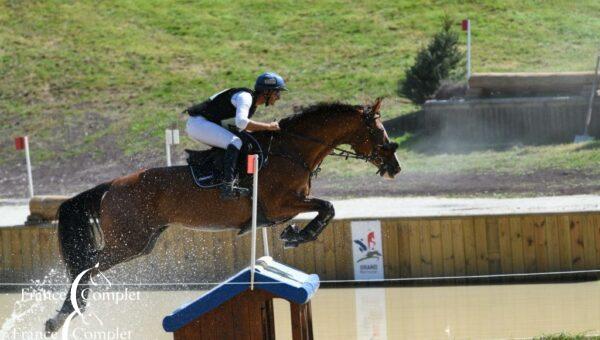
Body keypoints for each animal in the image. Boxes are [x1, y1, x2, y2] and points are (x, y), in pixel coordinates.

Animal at [44, 97, 400, 334]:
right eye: (377, 131)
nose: (395, 167)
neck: (292, 150)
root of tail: (111, 186)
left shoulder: (287, 205)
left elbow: (326, 208)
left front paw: (294, 235)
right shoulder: (282, 203)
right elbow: (327, 207)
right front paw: (297, 236)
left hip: (142, 242)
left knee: (89, 266)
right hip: (127, 241)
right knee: (86, 266)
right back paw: (60, 316)